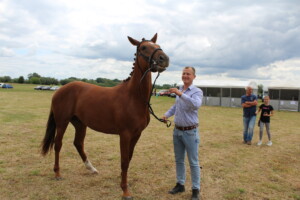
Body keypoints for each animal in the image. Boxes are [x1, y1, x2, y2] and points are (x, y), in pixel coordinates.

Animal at [40, 33, 169, 199]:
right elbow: (124, 160)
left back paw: (91, 168)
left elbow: (129, 158)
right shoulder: (125, 134)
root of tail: (60, 90)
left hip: (80, 123)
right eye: (143, 47)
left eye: (157, 45)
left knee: (78, 143)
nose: (164, 59)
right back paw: (57, 173)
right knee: (58, 144)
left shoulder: (137, 134)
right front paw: (125, 190)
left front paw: (123, 181)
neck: (133, 97)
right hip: (62, 122)